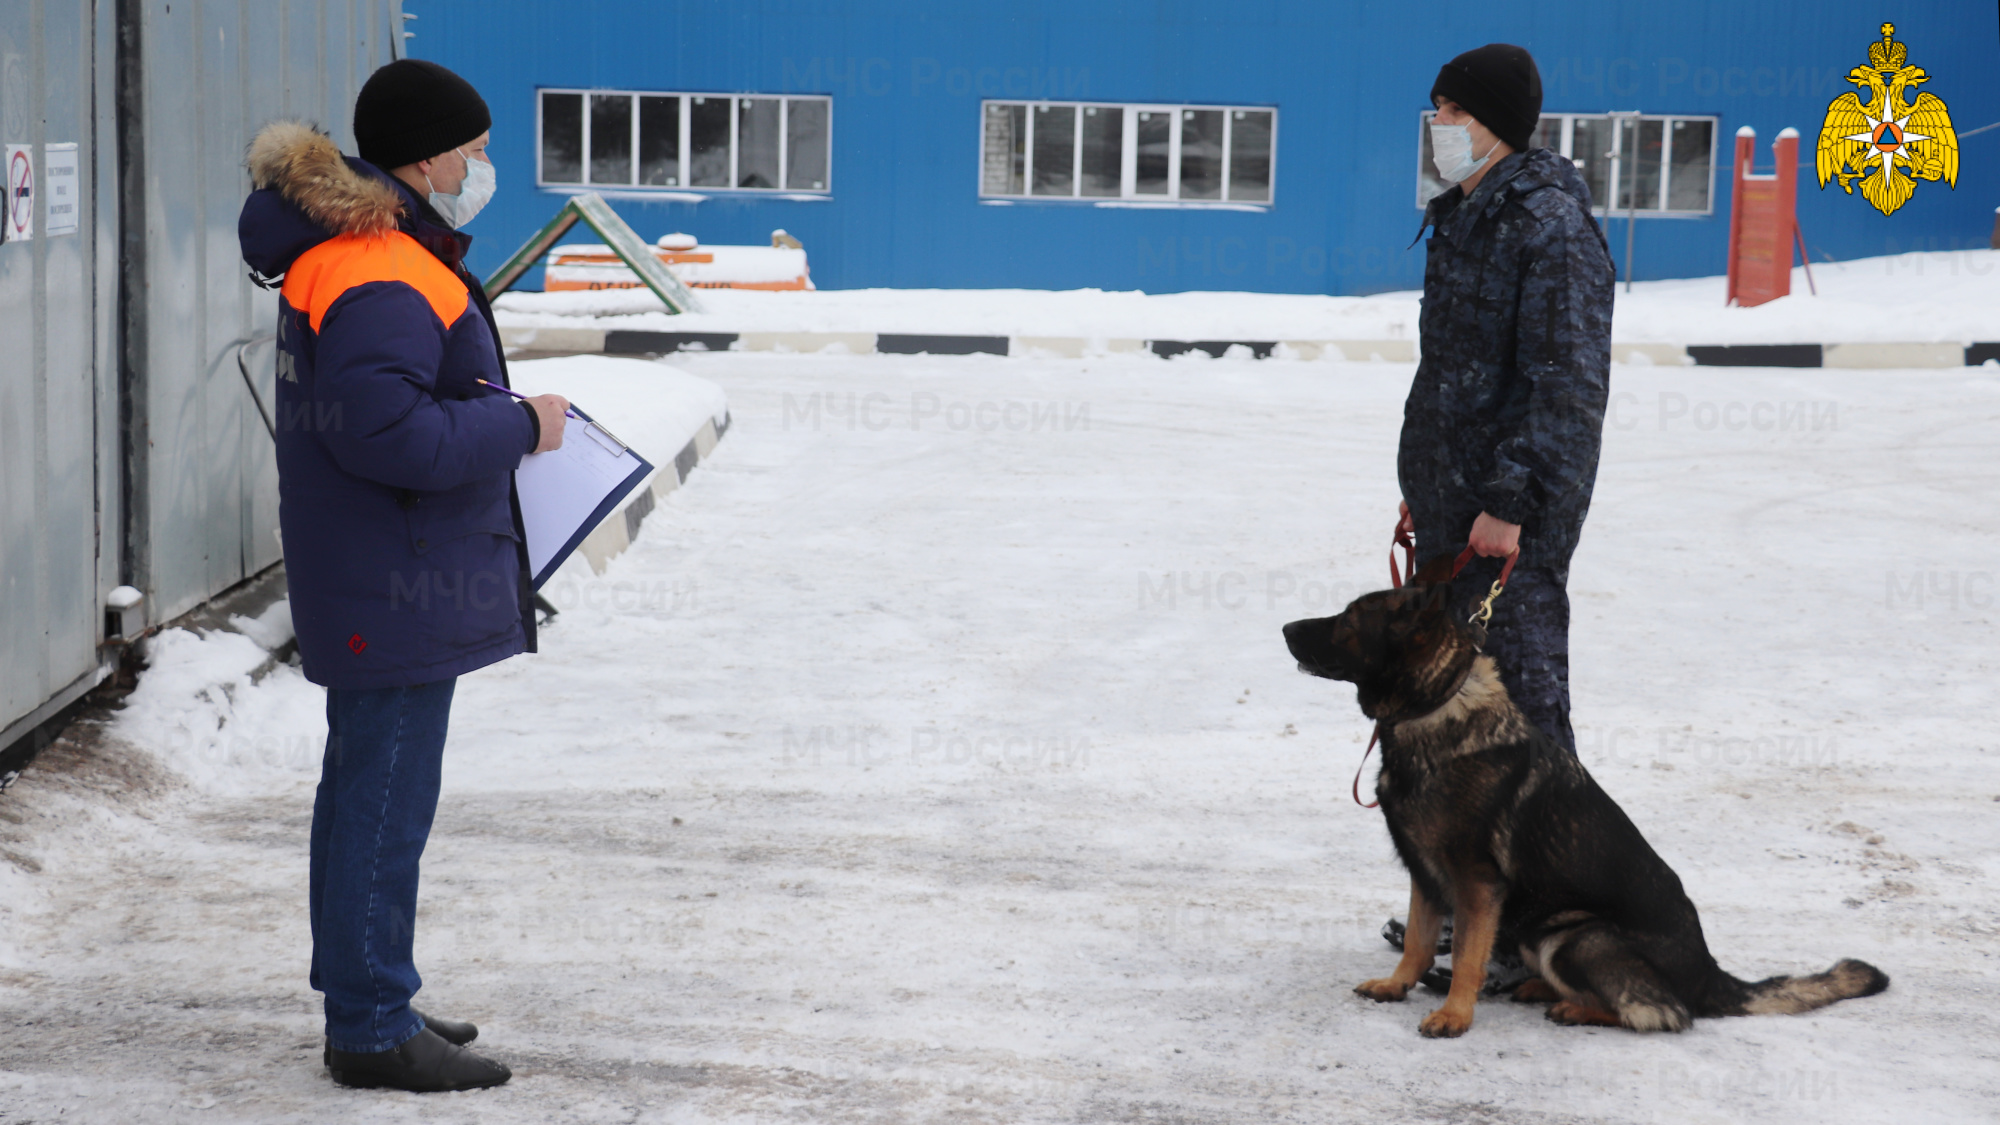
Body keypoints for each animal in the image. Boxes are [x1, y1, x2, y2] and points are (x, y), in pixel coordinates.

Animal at [1280, 564, 1888, 1040]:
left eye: (1347, 620)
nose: (1284, 626)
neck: (1435, 708)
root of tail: (1712, 975)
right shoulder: (1426, 873)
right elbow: (1420, 940)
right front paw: (1398, 985)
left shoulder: (1475, 882)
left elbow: (1466, 957)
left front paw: (1455, 1015)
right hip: (1537, 929)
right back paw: (1538, 989)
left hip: (1574, 935)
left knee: (1666, 1013)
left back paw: (1574, 1007)